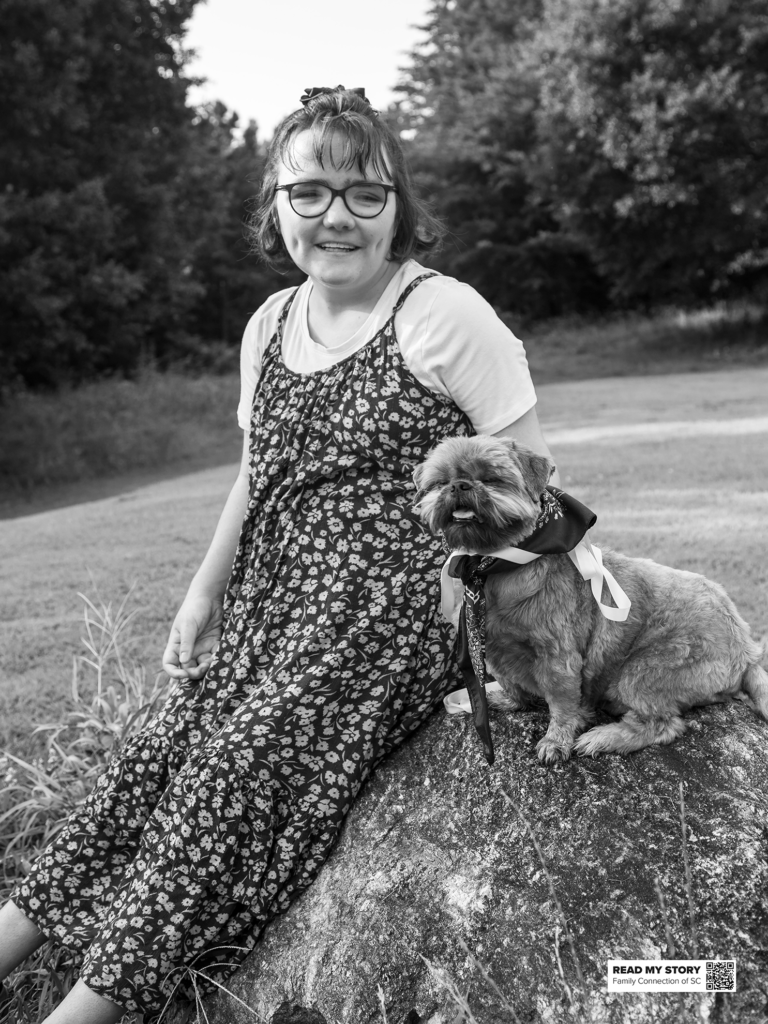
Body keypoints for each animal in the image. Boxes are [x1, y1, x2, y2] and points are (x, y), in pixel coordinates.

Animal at [415, 432, 768, 761]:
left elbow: (562, 704)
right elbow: (511, 683)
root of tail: (747, 648)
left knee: (663, 724)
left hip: (644, 669)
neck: (497, 564)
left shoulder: (558, 657)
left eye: (491, 478)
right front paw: (507, 699)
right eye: (439, 483)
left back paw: (605, 737)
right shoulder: (492, 647)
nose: (458, 485)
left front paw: (556, 740)